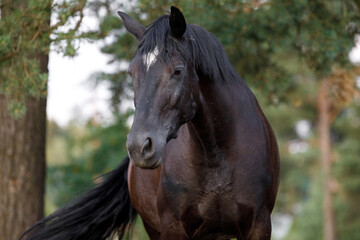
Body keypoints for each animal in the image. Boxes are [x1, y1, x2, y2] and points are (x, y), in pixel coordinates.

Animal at [21, 5, 280, 240]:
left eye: (177, 71)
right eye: (131, 73)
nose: (139, 146)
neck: (217, 155)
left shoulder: (259, 226)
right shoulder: (173, 228)